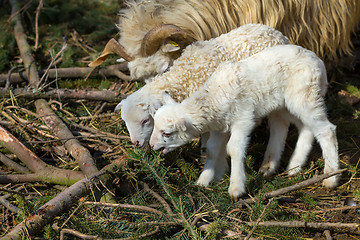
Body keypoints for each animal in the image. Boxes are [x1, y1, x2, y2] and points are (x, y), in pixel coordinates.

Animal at [150, 44, 340, 201]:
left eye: (167, 133)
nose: (151, 146)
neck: (214, 96)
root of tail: (318, 61)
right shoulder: (220, 126)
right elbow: (211, 150)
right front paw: (204, 181)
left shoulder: (243, 118)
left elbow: (234, 148)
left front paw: (236, 188)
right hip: (285, 105)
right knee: (300, 128)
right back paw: (287, 167)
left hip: (304, 94)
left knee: (326, 130)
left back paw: (331, 177)